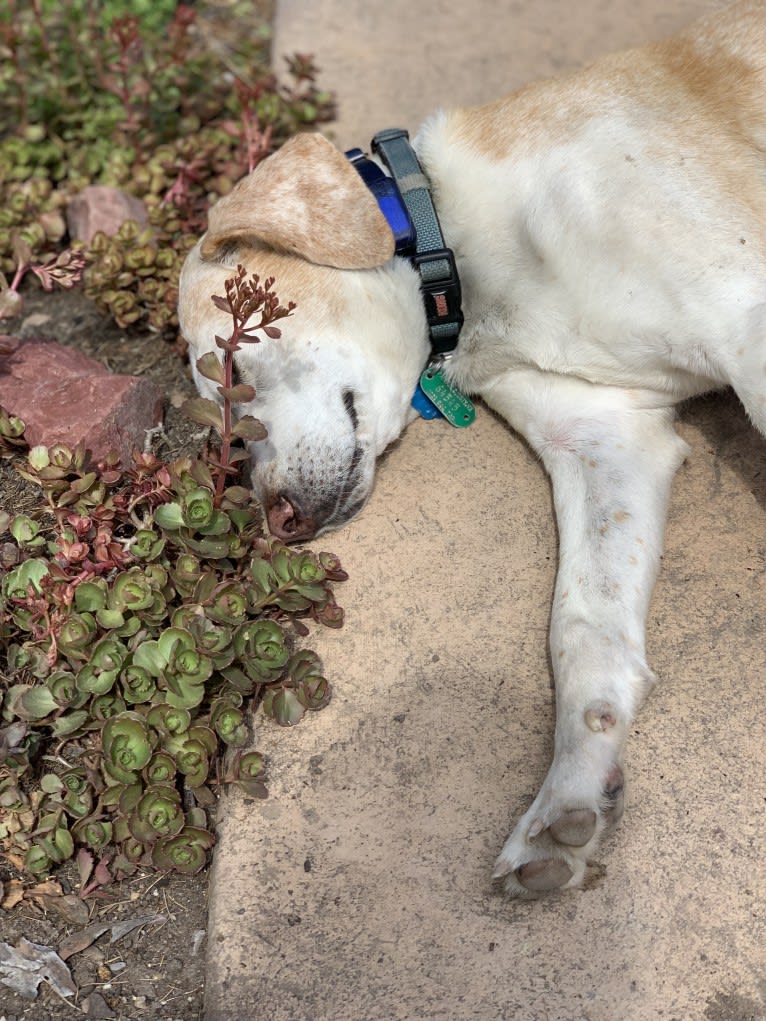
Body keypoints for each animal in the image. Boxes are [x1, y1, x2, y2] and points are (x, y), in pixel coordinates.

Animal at [179, 0, 766, 894]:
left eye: (236, 366)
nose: (277, 522)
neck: (459, 252)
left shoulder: (748, 316)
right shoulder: (605, 435)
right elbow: (584, 631)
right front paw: (569, 798)